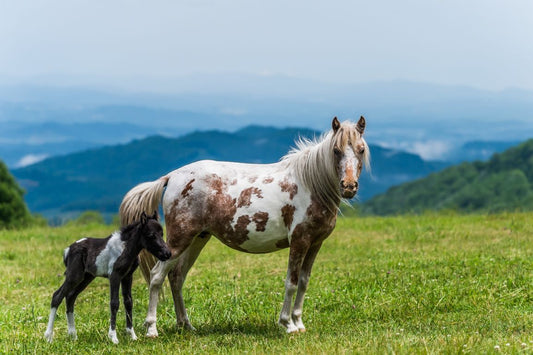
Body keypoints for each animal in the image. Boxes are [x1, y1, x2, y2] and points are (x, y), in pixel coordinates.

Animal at [45, 213, 172, 344]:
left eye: (162, 234)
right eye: (151, 235)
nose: (167, 253)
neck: (125, 248)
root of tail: (68, 250)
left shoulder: (127, 276)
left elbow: (128, 302)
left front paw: (132, 335)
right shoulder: (114, 275)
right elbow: (114, 303)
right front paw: (113, 337)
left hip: (86, 277)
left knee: (70, 297)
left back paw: (73, 335)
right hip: (74, 275)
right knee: (57, 296)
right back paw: (49, 336)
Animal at [119, 116, 370, 336]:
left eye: (361, 149)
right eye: (336, 150)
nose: (349, 186)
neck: (310, 184)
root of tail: (171, 177)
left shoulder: (315, 243)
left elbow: (304, 282)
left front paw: (299, 323)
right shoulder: (299, 241)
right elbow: (291, 282)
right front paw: (287, 325)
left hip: (198, 239)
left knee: (177, 276)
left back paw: (186, 325)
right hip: (179, 239)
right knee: (157, 276)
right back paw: (152, 329)